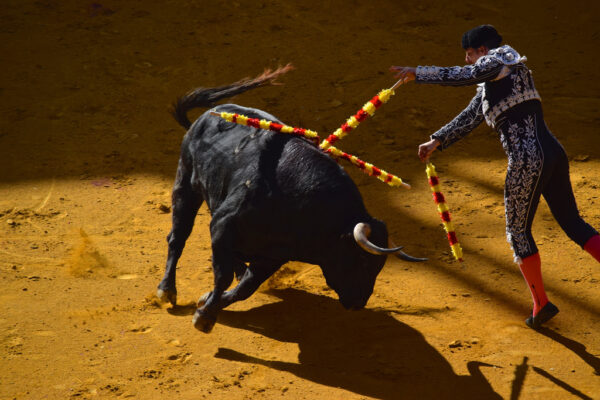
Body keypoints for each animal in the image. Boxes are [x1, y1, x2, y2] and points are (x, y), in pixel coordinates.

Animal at [157, 67, 424, 332]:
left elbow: (246, 287)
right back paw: (166, 291)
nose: (359, 302)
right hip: (185, 184)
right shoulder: (223, 225)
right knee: (177, 237)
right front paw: (205, 317)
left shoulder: (273, 256)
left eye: (379, 266)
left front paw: (210, 303)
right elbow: (222, 276)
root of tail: (204, 117)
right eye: (361, 260)